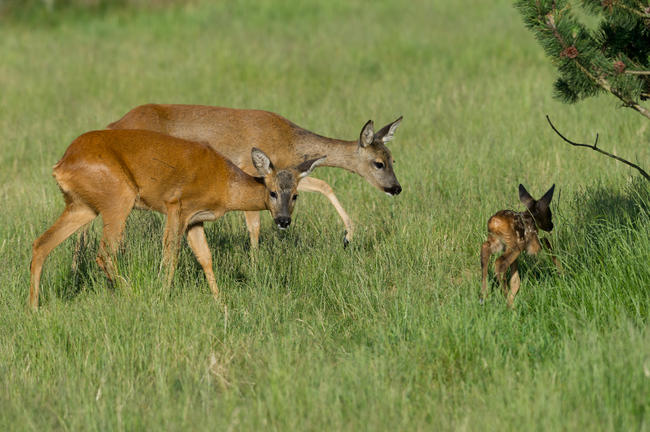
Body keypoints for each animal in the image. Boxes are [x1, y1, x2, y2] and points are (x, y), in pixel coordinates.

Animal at [29, 129, 324, 310]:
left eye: (295, 195)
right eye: (272, 192)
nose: (283, 220)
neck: (226, 185)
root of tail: (61, 165)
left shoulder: (196, 219)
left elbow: (205, 257)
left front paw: (221, 303)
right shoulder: (176, 204)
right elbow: (171, 254)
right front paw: (163, 296)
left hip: (82, 206)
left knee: (41, 244)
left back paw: (33, 308)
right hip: (118, 196)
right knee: (104, 253)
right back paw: (131, 293)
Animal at [106, 103, 400, 248]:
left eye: (393, 159)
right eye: (378, 163)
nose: (396, 188)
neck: (290, 142)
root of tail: (113, 124)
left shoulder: (288, 174)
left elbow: (323, 184)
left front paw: (348, 236)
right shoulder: (251, 172)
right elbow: (254, 224)